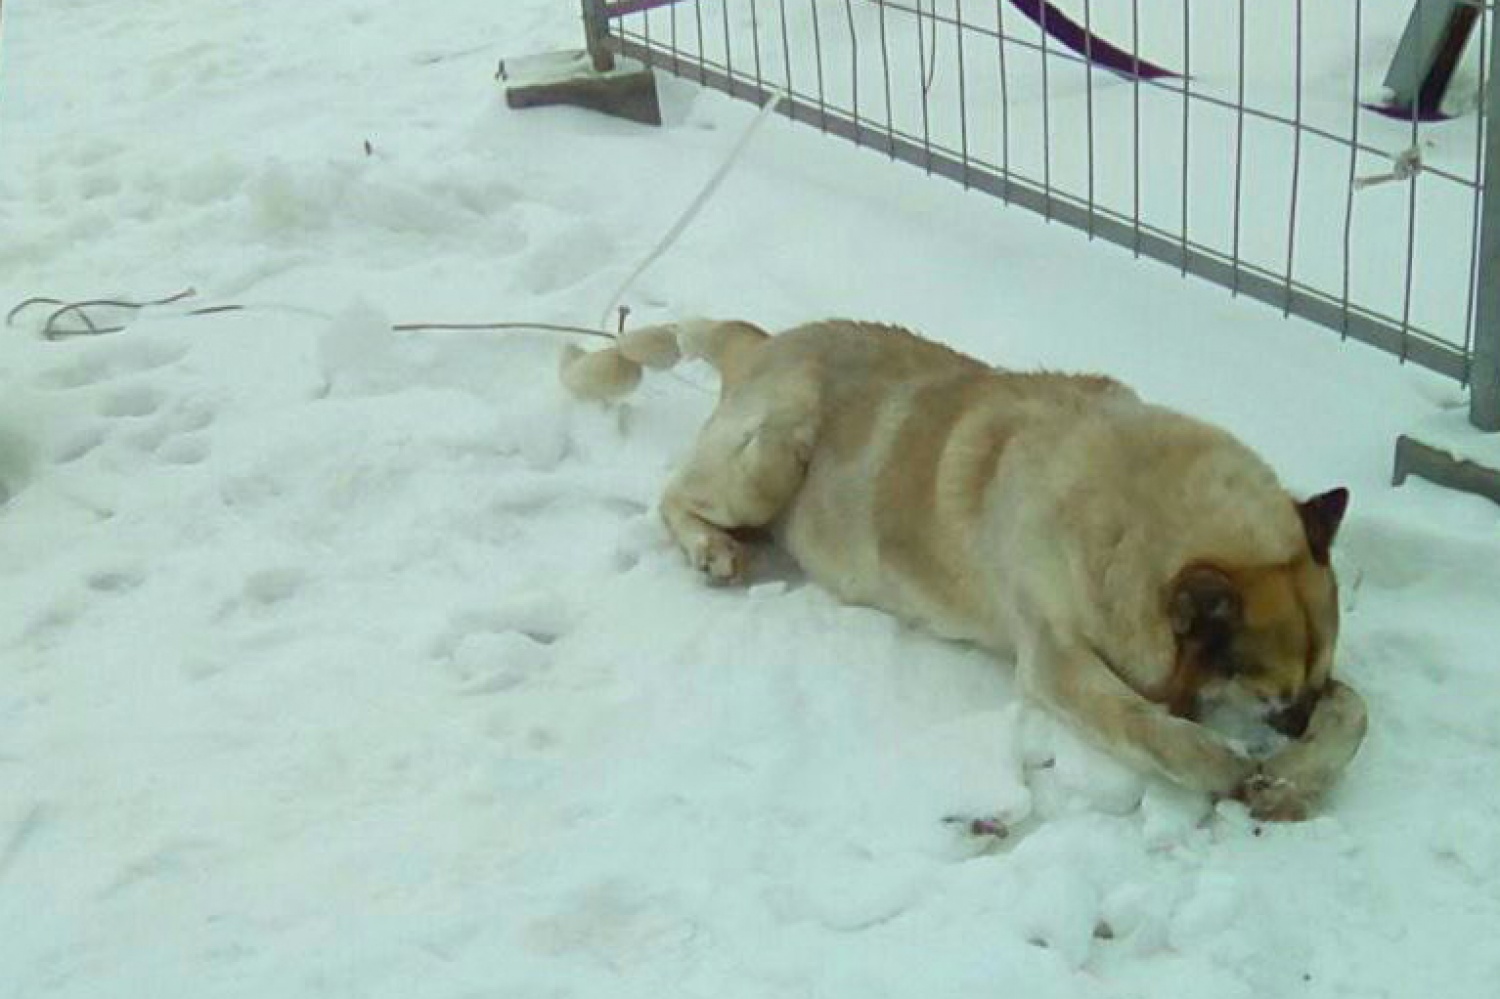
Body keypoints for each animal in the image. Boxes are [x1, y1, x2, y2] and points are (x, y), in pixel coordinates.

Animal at [558, 319, 1368, 816]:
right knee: (672, 497)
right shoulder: (1056, 662)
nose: (1295, 729)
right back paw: (712, 547)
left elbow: (1358, 707)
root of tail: (763, 343)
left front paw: (1299, 778)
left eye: (1311, 688)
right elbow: (1141, 722)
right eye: (1270, 698)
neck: (1135, 511)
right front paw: (1220, 763)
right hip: (773, 453)